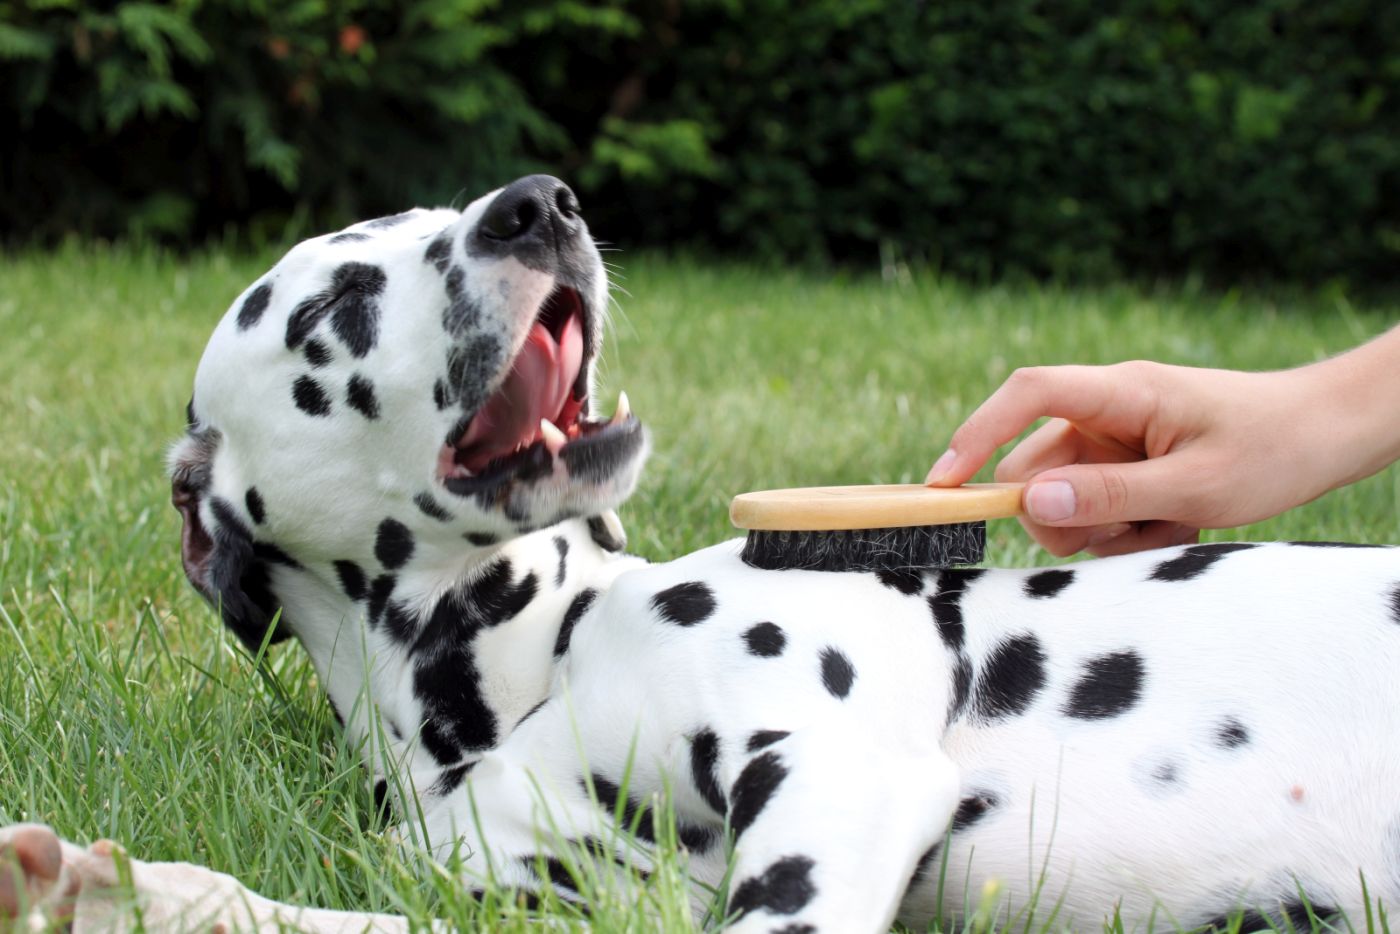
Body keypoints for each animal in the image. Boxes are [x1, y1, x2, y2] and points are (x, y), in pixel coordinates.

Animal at [2, 177, 1400, 934]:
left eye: (441, 217)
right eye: (336, 302)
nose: (539, 204)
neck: (536, 663)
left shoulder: (842, 773)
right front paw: (104, 886)